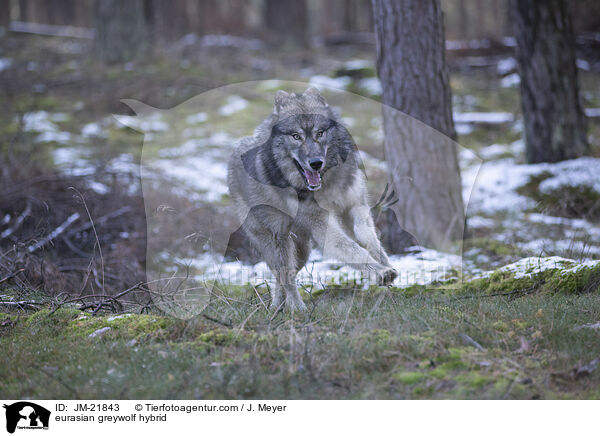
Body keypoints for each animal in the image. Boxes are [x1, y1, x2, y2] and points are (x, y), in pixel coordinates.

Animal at [227, 87, 396, 308]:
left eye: (319, 133)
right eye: (296, 136)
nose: (316, 162)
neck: (326, 185)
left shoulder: (355, 206)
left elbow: (368, 237)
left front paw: (384, 262)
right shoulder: (323, 227)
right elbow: (352, 249)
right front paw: (380, 273)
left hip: (302, 252)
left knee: (282, 278)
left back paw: (277, 307)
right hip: (278, 244)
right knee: (286, 276)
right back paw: (297, 309)